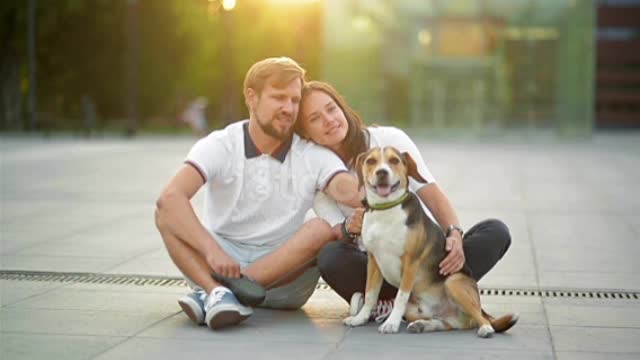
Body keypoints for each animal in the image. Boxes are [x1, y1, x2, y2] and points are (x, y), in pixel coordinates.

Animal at [342, 147, 516, 338]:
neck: (386, 209)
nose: (382, 172)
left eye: (394, 161)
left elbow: (400, 297)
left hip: (453, 282)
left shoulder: (410, 262)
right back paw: (422, 325)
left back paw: (485, 328)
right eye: (371, 161)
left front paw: (391, 323)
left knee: (477, 319)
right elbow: (370, 294)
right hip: (415, 311)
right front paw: (360, 318)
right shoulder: (373, 261)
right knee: (450, 324)